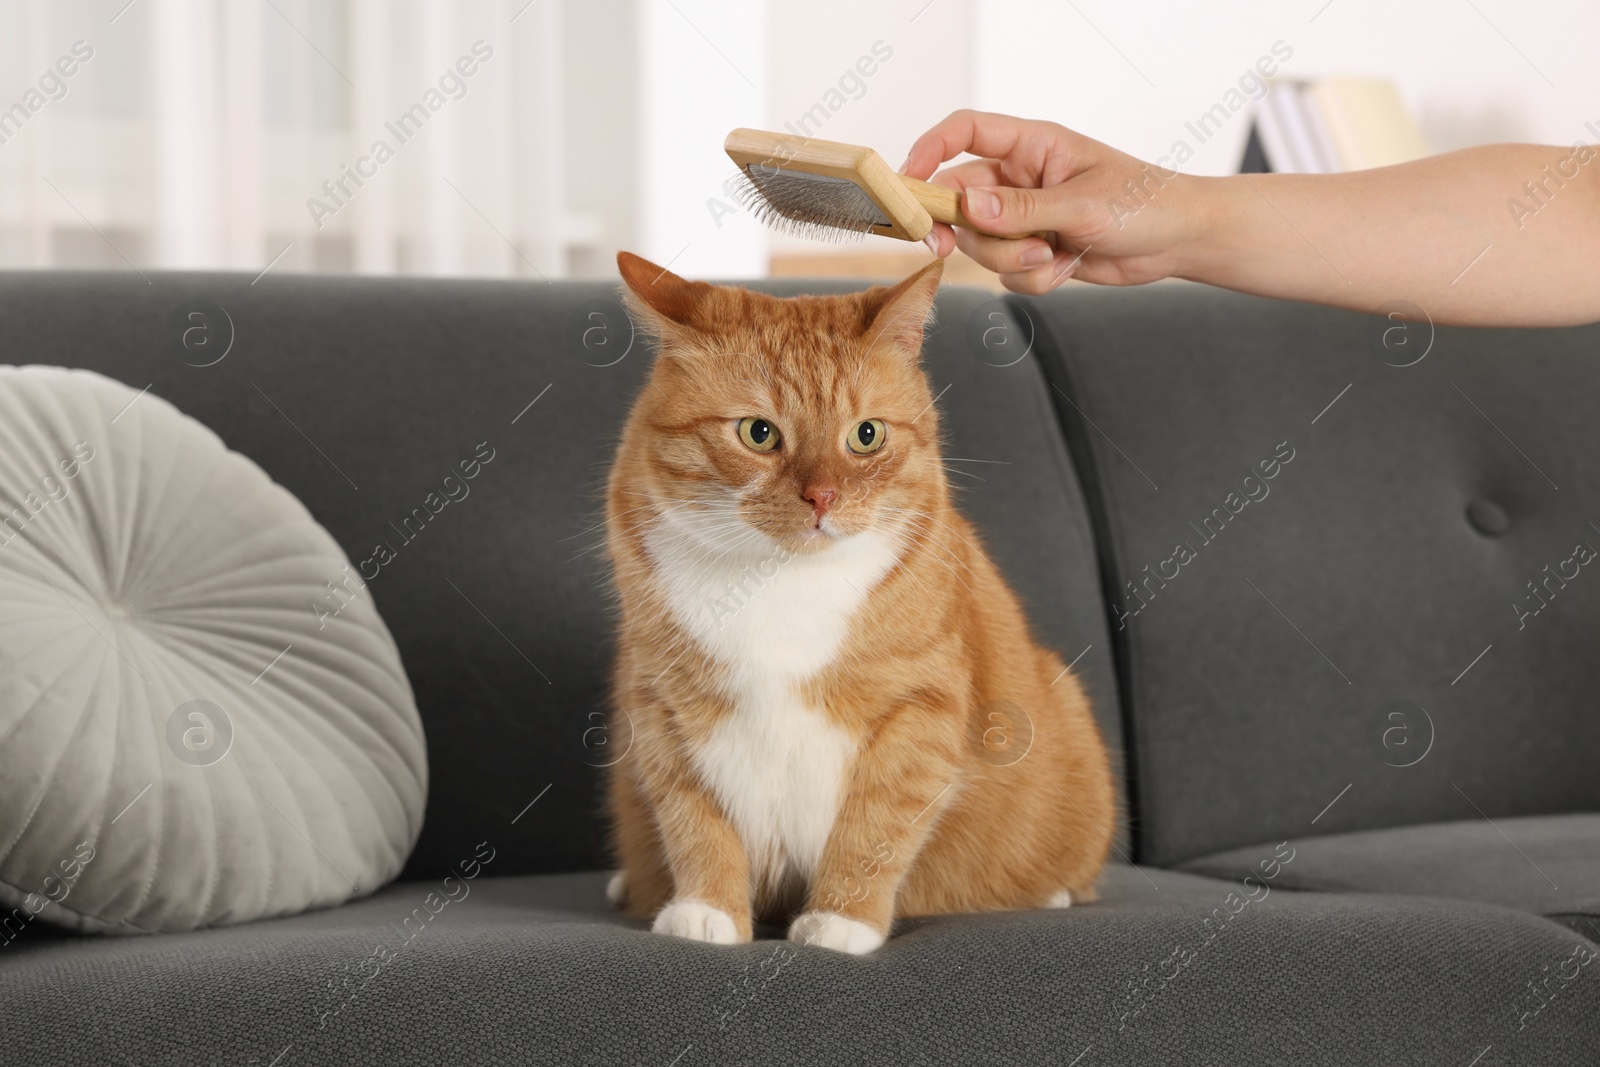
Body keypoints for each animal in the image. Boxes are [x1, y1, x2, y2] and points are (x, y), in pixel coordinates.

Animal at [601, 252, 1113, 959]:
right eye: (758, 433)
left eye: (866, 436)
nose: (823, 497)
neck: (779, 582)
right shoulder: (661, 708)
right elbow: (695, 820)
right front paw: (708, 911)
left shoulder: (918, 712)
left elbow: (874, 828)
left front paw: (842, 922)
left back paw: (1054, 892)